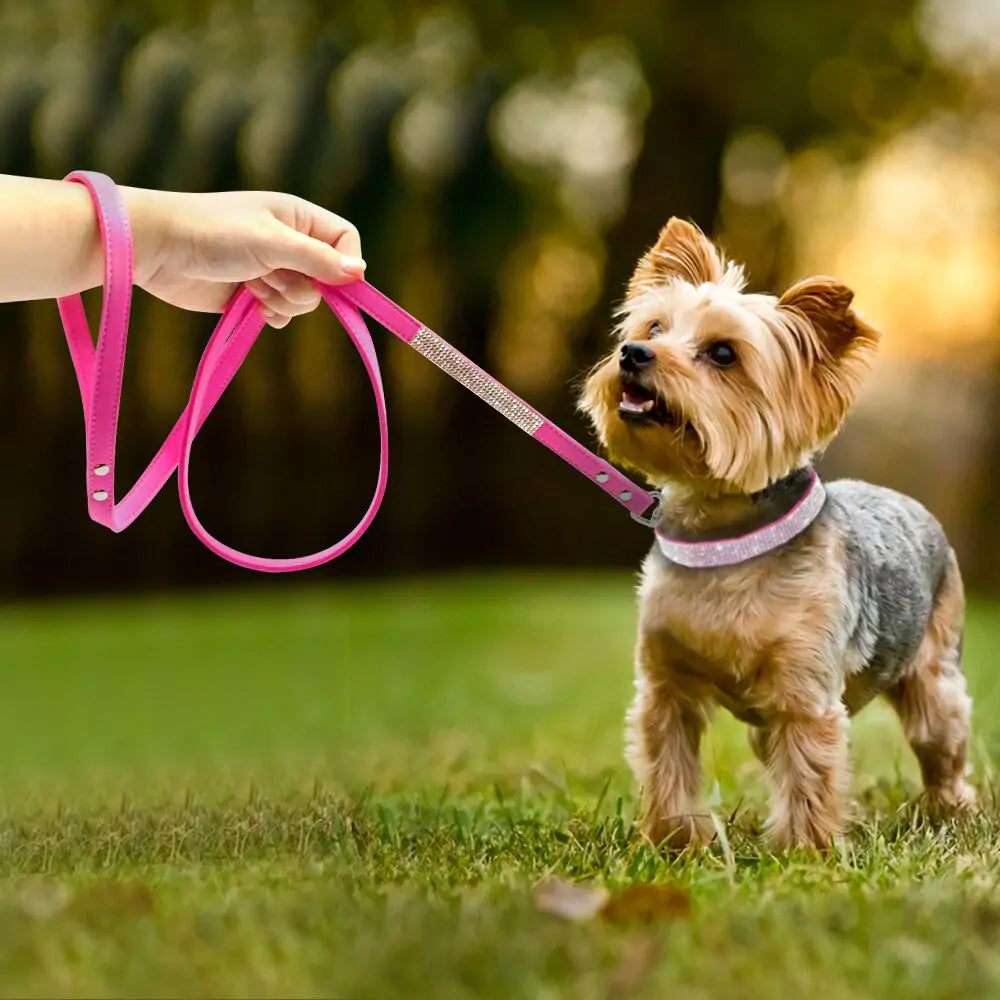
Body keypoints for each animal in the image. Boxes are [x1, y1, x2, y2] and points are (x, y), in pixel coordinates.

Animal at [584, 217, 972, 844]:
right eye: (654, 327)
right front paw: (674, 841)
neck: (722, 539)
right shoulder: (664, 687)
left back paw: (949, 809)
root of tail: (905, 499)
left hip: (935, 675)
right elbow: (669, 761)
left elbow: (810, 771)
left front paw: (804, 849)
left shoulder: (804, 692)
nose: (633, 352)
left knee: (941, 738)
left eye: (723, 353)